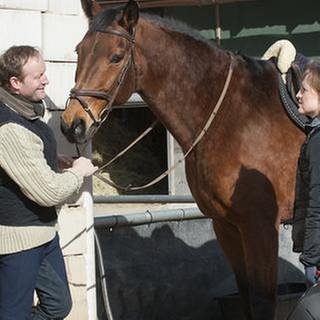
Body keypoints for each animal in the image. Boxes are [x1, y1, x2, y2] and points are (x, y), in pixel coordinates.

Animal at [60, 1, 304, 318]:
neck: (233, 115)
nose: (72, 124)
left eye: (116, 56)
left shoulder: (260, 226)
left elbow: (263, 301)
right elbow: (245, 295)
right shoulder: (225, 225)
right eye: (79, 50)